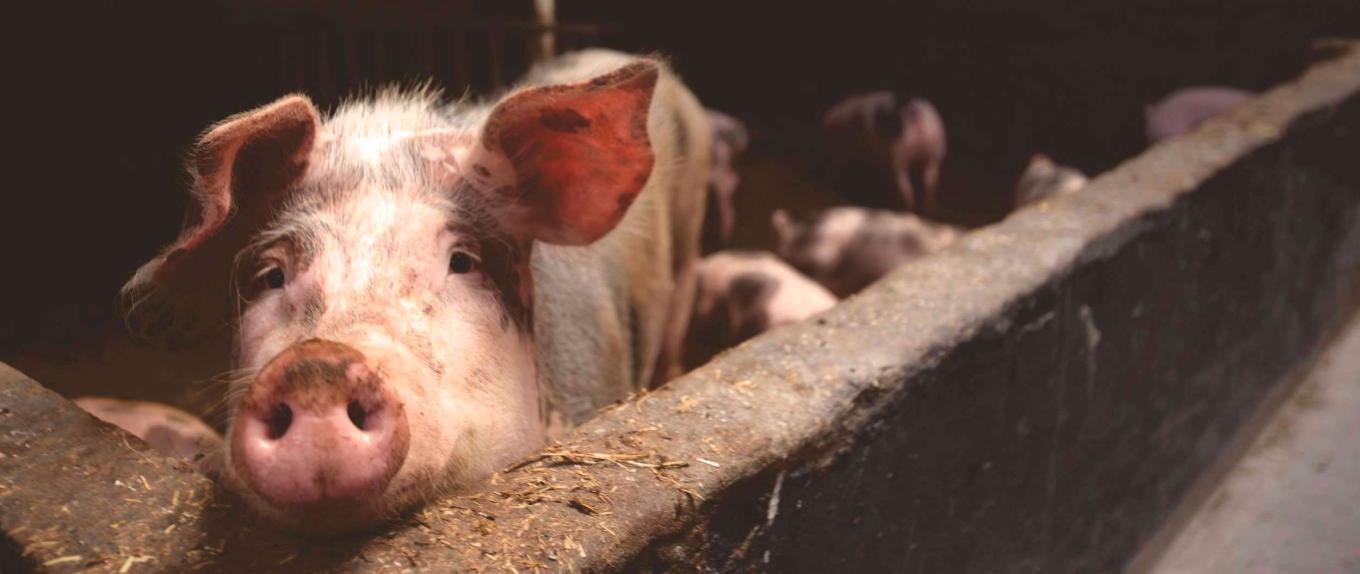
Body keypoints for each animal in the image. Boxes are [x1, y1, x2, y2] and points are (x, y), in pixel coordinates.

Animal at [816, 91, 946, 212]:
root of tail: (912, 111)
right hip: (932, 151)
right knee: (928, 181)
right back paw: (928, 207)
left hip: (899, 153)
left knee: (905, 186)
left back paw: (905, 208)